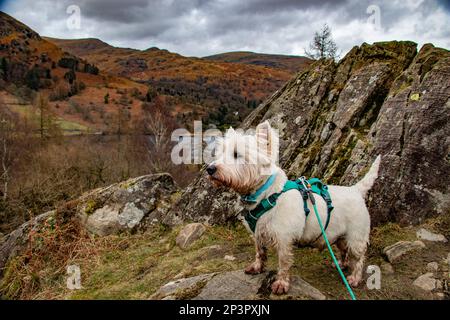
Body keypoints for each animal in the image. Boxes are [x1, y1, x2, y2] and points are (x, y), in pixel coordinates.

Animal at [207, 122, 380, 296]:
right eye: (220, 154)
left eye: (237, 154)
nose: (210, 169)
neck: (266, 195)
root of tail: (356, 190)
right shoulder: (258, 233)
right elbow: (260, 251)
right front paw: (256, 267)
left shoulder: (284, 238)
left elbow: (283, 262)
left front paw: (281, 284)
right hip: (340, 236)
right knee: (344, 250)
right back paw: (341, 264)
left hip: (356, 236)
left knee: (358, 258)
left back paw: (354, 278)